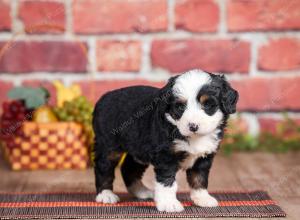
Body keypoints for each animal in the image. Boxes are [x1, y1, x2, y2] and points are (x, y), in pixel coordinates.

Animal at [92, 69, 238, 212]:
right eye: (180, 107)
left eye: (207, 104)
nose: (193, 126)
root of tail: (103, 98)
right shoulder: (166, 156)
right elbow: (167, 181)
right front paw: (169, 204)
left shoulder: (203, 158)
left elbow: (199, 178)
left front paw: (203, 198)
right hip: (109, 146)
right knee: (103, 167)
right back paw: (105, 194)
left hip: (138, 150)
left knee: (129, 168)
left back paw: (141, 191)